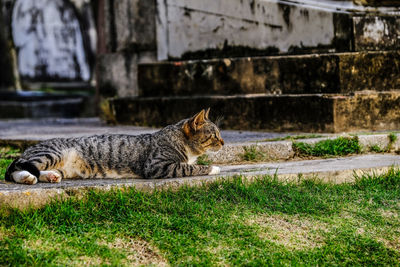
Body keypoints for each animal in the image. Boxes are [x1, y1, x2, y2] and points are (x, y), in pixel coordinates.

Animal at [5, 110, 225, 185]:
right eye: (214, 135)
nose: (223, 142)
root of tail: (28, 149)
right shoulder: (158, 166)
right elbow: (190, 167)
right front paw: (213, 168)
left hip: (59, 165)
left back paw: (50, 176)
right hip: (50, 154)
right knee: (15, 170)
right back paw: (27, 178)